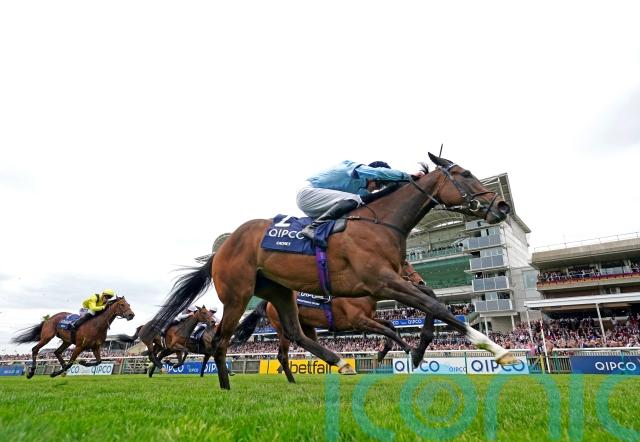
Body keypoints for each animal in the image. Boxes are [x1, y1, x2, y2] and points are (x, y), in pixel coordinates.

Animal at [231, 261, 429, 383]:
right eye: (405, 263)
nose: (421, 282)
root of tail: (269, 302)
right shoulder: (358, 321)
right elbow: (388, 330)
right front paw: (411, 350)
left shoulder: (367, 318)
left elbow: (390, 326)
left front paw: (383, 352)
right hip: (282, 328)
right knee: (284, 354)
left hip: (307, 325)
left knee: (309, 344)